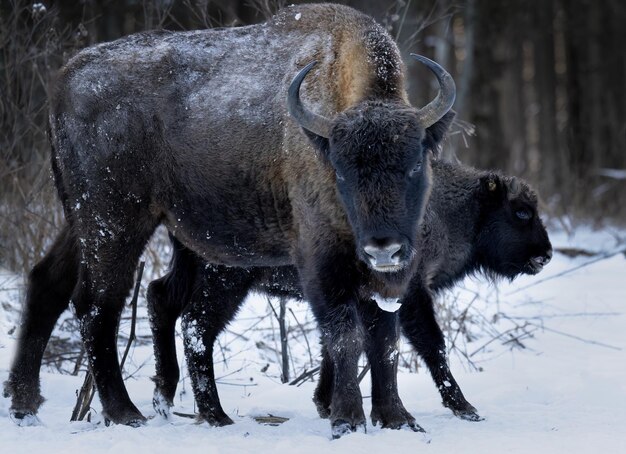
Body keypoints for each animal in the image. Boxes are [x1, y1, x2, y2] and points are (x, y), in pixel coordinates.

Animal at [4, 3, 454, 436]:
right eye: (341, 170)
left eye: (416, 163)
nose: (384, 247)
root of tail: (66, 78)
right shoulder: (321, 262)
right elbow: (347, 336)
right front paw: (347, 420)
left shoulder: (386, 280)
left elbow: (385, 341)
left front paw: (398, 419)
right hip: (115, 221)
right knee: (98, 304)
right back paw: (126, 412)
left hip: (81, 219)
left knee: (50, 283)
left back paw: (27, 406)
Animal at [147, 160, 552, 430]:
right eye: (521, 212)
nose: (546, 254)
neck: (451, 208)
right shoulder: (411, 296)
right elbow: (429, 345)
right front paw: (465, 408)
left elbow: (338, 344)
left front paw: (325, 404)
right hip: (225, 281)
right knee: (197, 326)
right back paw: (216, 415)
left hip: (190, 274)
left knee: (160, 299)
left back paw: (165, 402)